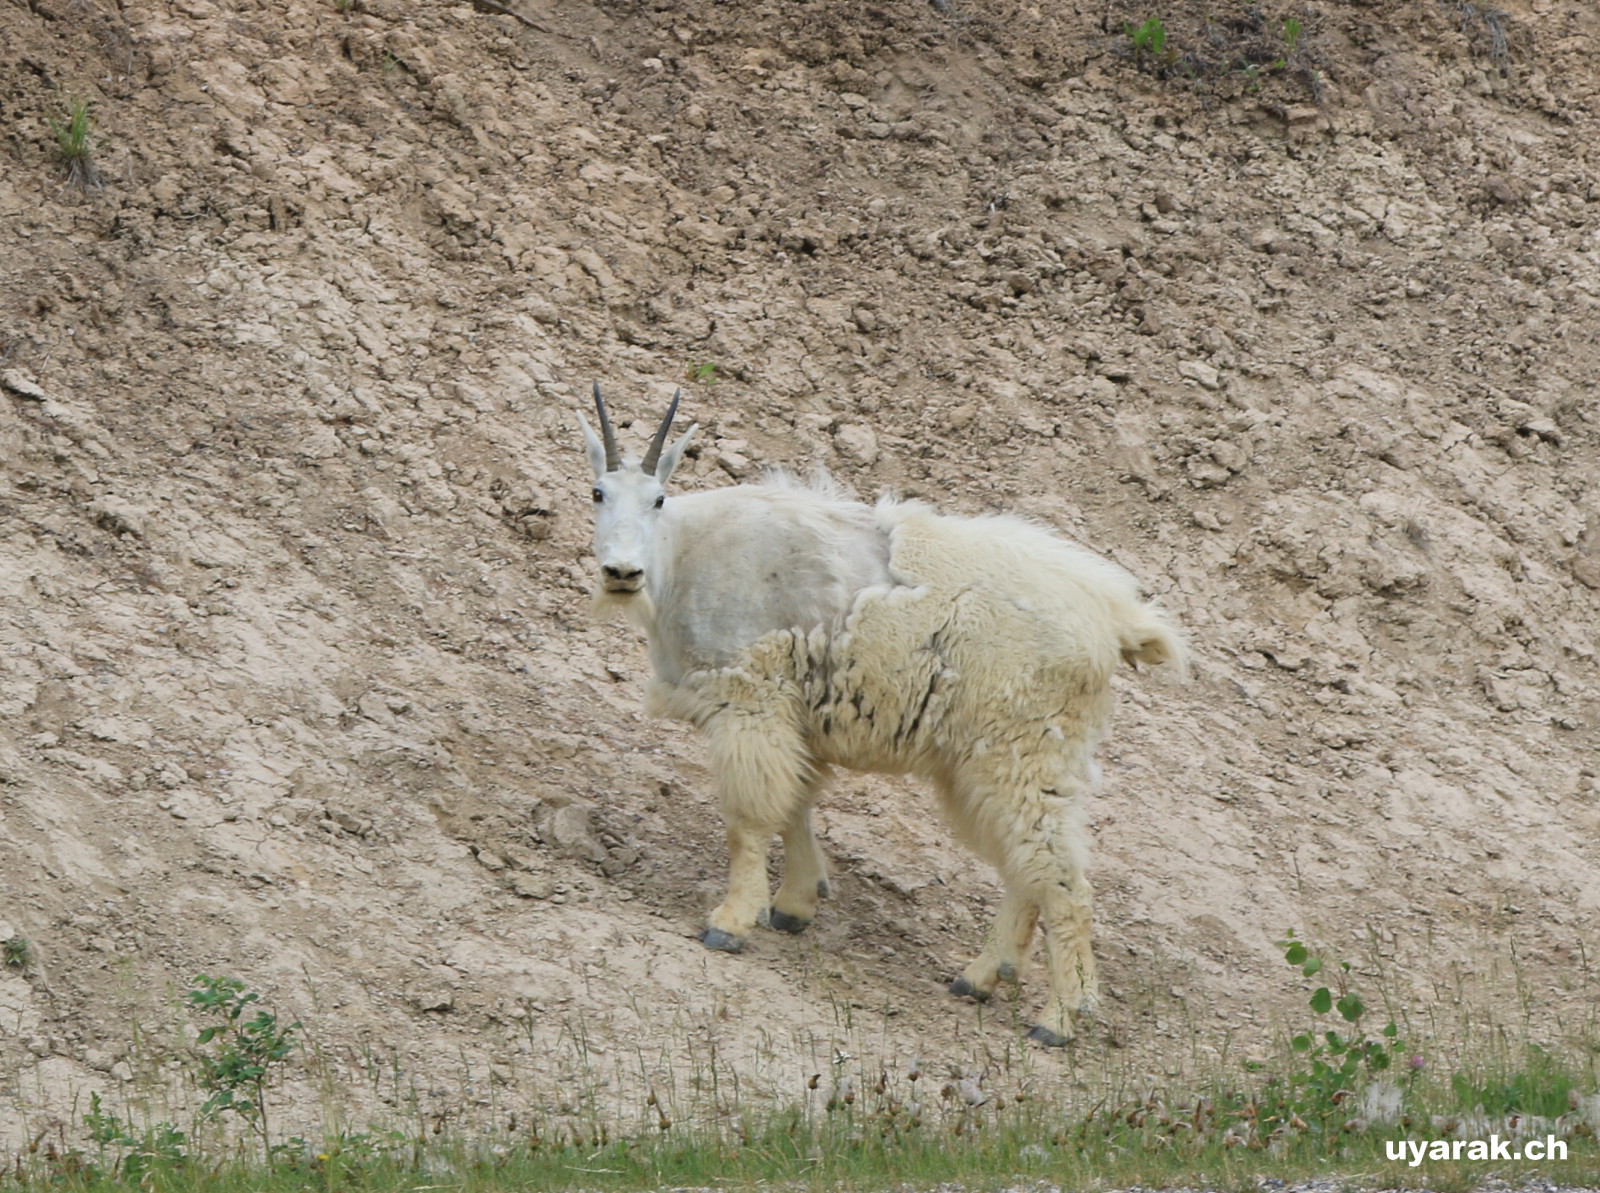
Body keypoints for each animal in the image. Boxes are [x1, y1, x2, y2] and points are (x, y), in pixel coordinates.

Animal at [576, 385, 1187, 1045]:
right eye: (597, 493)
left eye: (658, 498)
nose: (621, 574)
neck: (683, 553)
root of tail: (1117, 621)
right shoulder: (794, 717)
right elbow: (796, 805)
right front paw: (794, 905)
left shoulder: (750, 701)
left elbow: (748, 820)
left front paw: (731, 921)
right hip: (986, 762)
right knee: (1028, 863)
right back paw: (979, 976)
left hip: (1023, 749)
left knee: (1062, 875)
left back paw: (1059, 1017)